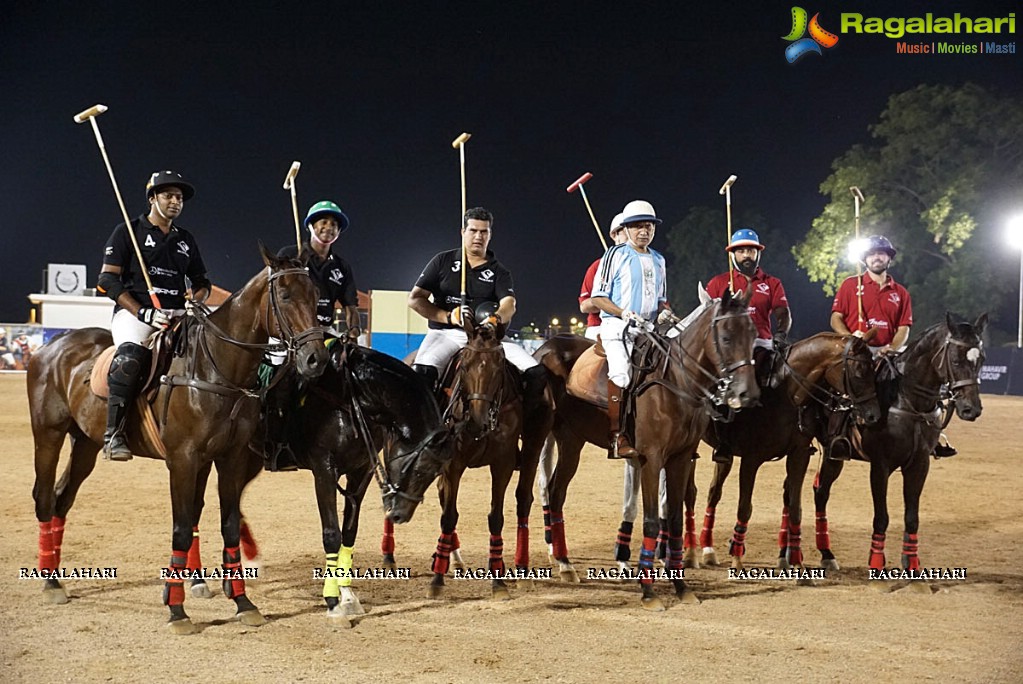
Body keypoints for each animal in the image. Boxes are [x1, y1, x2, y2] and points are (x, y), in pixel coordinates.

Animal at [28, 242, 325, 633]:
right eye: (286, 295)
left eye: (316, 296)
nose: (315, 359)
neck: (216, 370)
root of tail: (53, 344)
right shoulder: (183, 460)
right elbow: (182, 528)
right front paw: (177, 608)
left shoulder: (229, 458)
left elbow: (228, 524)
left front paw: (243, 602)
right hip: (48, 433)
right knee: (45, 497)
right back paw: (49, 582)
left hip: (86, 443)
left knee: (63, 498)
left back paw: (56, 577)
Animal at [536, 288, 761, 609]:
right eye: (727, 337)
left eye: (753, 333)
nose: (746, 394)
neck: (676, 382)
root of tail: (544, 347)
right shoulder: (651, 459)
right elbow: (653, 520)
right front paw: (648, 590)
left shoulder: (680, 458)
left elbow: (675, 518)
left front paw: (681, 586)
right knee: (546, 490)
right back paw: (559, 560)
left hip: (571, 439)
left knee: (556, 492)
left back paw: (565, 562)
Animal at [687, 331, 879, 576]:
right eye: (859, 371)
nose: (873, 415)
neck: (785, 394)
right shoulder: (751, 459)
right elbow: (745, 507)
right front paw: (737, 559)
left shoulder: (799, 455)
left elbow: (795, 506)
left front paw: (797, 564)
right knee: (690, 493)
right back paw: (689, 552)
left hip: (725, 454)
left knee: (714, 492)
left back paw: (709, 549)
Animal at [810, 312, 986, 584]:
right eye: (955, 360)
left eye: (982, 359)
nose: (971, 409)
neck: (907, 401)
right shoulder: (880, 465)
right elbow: (881, 517)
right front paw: (876, 564)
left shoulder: (919, 464)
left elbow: (912, 517)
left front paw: (912, 565)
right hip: (831, 452)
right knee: (820, 493)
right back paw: (825, 553)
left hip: (835, 456)